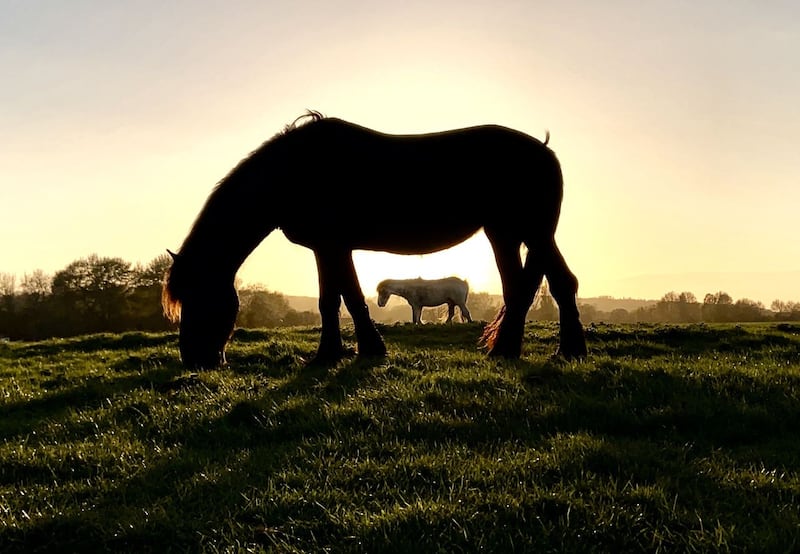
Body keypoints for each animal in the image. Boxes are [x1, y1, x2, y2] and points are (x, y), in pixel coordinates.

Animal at [162, 110, 588, 368]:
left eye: (199, 298)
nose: (195, 359)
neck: (293, 173)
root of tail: (544, 151)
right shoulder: (326, 248)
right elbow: (333, 300)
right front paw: (333, 355)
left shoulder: (334, 246)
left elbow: (346, 298)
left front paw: (361, 351)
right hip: (505, 234)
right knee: (520, 289)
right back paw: (505, 350)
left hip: (531, 233)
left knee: (560, 284)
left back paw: (569, 350)